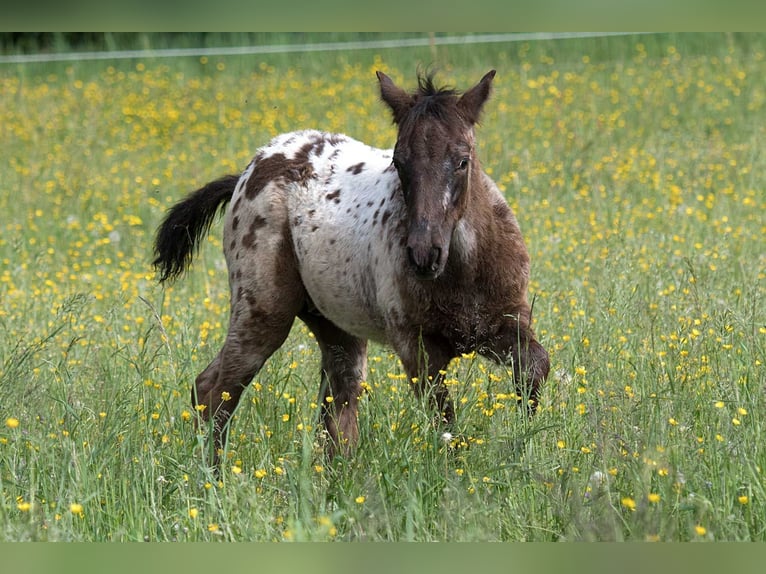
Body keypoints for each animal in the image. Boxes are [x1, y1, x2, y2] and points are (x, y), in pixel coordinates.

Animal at [156, 71, 548, 464]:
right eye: (399, 162)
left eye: (463, 160)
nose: (423, 254)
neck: (464, 272)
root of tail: (248, 171)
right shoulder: (417, 346)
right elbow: (446, 422)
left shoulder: (507, 323)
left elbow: (536, 368)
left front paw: (526, 444)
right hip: (263, 311)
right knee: (214, 389)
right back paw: (212, 475)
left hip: (334, 326)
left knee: (337, 405)